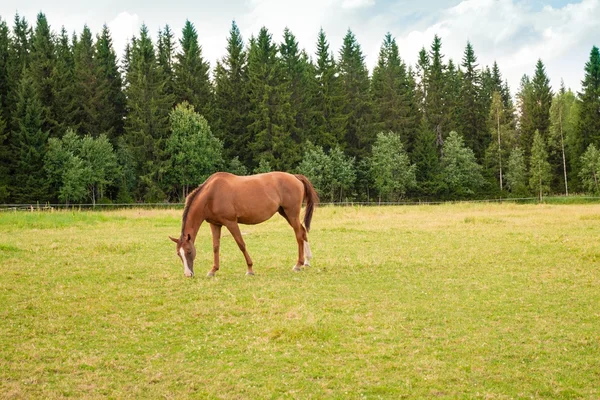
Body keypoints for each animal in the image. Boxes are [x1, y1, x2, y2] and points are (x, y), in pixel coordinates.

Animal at [169, 172, 318, 278]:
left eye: (189, 251)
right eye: (178, 254)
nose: (188, 274)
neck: (211, 195)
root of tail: (295, 177)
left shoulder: (231, 222)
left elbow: (241, 244)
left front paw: (250, 269)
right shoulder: (215, 224)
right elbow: (216, 247)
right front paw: (213, 270)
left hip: (291, 214)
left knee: (298, 235)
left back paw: (298, 264)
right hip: (285, 213)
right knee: (303, 231)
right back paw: (307, 261)